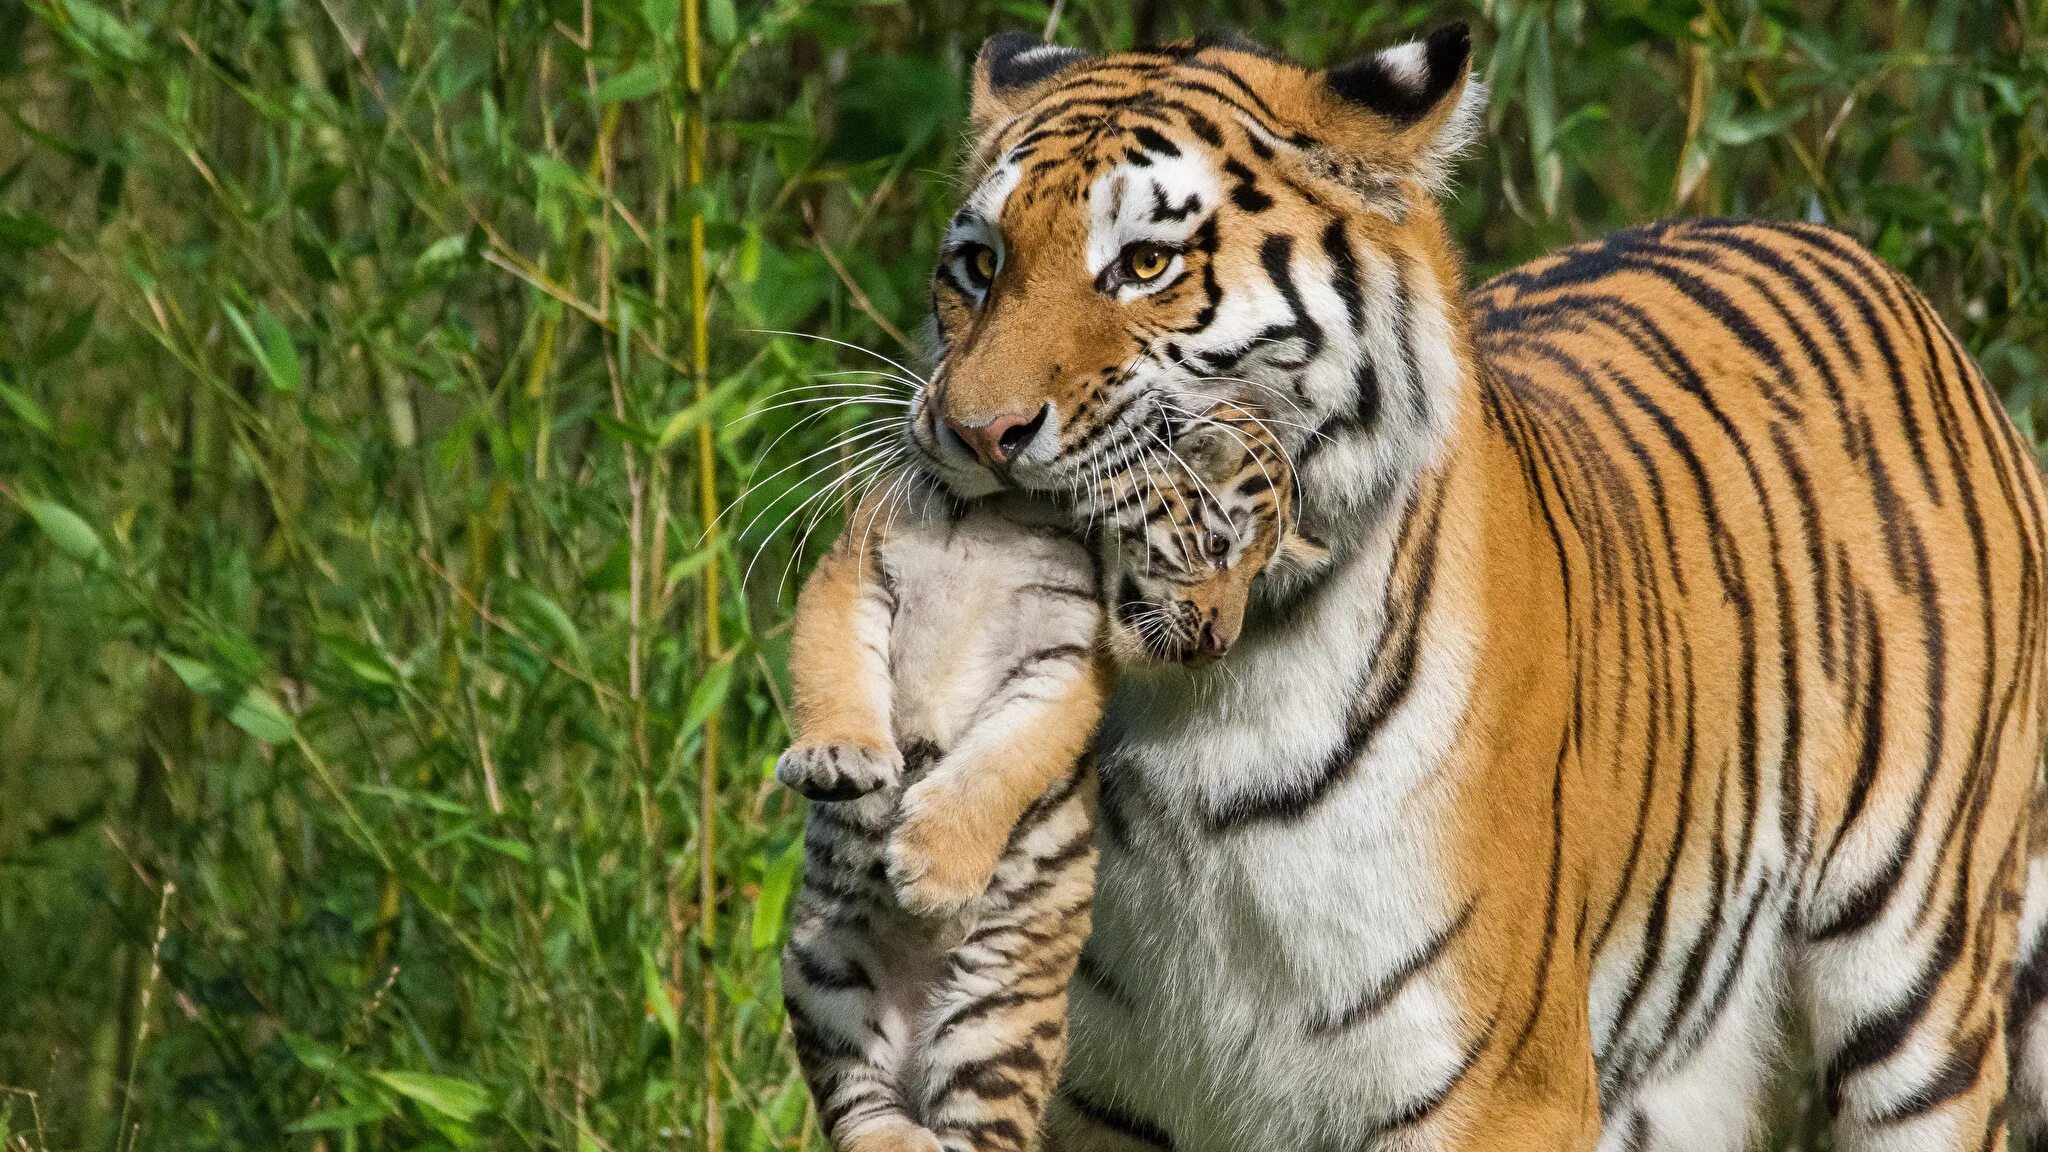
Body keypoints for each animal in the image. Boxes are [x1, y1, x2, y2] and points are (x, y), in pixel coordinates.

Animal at [774, 405, 1318, 1147]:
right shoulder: (856, 570)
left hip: (992, 1022)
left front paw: (934, 870)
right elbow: (832, 666)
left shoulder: (1066, 656)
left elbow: (1004, 760)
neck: (997, 511)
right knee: (865, 1111)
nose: (1218, 644)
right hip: (826, 980)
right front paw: (836, 757)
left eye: (1259, 574)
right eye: (1214, 546)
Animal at [897, 20, 2048, 1147]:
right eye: (978, 265)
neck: (1199, 718)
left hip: (1917, 989)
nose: (977, 433)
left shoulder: (1497, 1084)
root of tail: (1845, 250)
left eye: (1144, 263)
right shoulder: (1098, 1097)